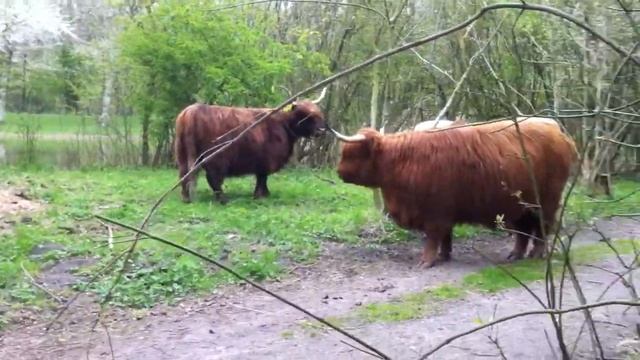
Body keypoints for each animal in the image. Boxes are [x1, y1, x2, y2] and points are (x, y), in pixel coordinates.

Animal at [174, 89, 324, 204]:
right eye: (304, 114)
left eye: (318, 113)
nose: (321, 130)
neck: (283, 124)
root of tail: (191, 111)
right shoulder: (266, 160)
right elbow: (262, 178)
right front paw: (260, 195)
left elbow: (262, 178)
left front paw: (265, 194)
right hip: (215, 158)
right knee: (213, 178)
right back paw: (222, 199)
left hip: (182, 153)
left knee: (184, 173)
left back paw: (186, 198)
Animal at [332, 118, 576, 268]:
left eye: (351, 153)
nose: (339, 172)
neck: (402, 162)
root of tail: (557, 130)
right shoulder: (443, 212)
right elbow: (446, 236)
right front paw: (444, 255)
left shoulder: (435, 211)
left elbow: (433, 236)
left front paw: (428, 260)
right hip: (520, 205)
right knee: (524, 230)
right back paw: (516, 254)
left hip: (546, 201)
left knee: (542, 228)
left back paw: (536, 255)